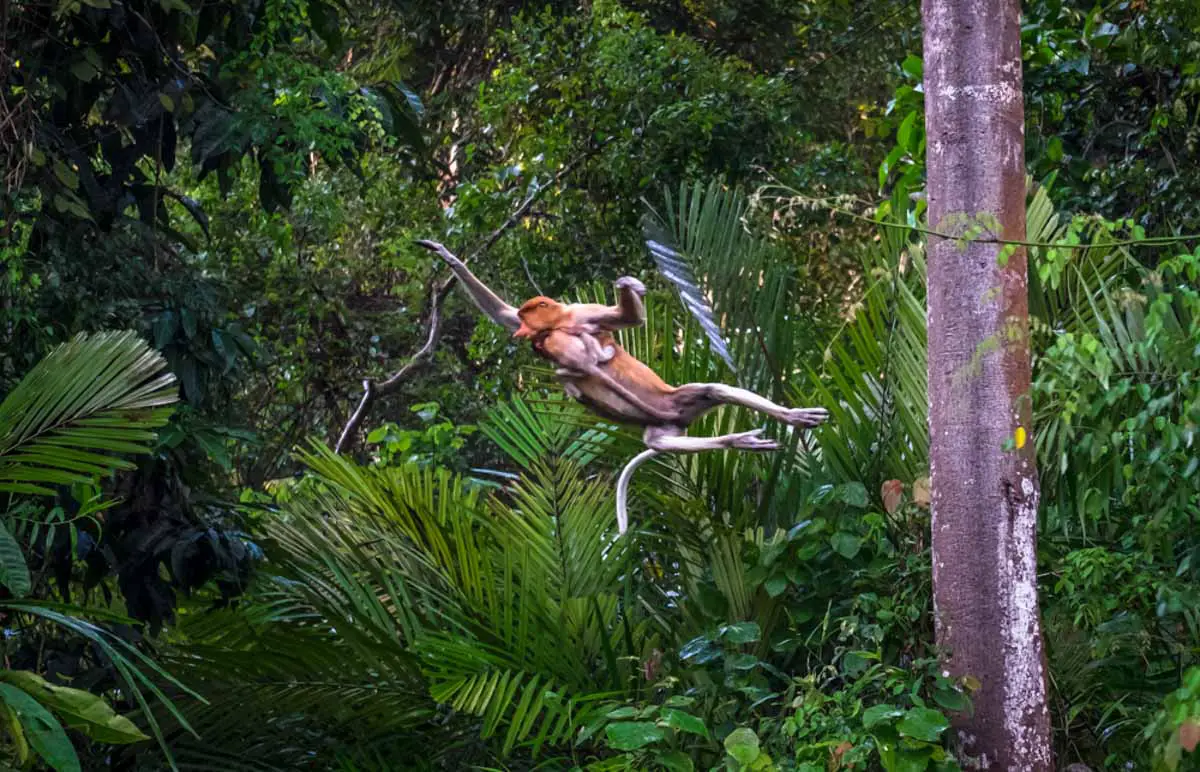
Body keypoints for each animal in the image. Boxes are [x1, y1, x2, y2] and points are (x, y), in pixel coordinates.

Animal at [417, 240, 830, 530]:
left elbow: (628, 319)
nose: (524, 332)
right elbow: (503, 315)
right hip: (666, 424)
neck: (558, 325)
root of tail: (676, 417)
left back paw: (791, 418)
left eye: (529, 314)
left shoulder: (581, 312)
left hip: (678, 400)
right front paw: (448, 257)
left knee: (714, 389)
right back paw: (737, 441)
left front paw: (627, 285)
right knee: (661, 441)